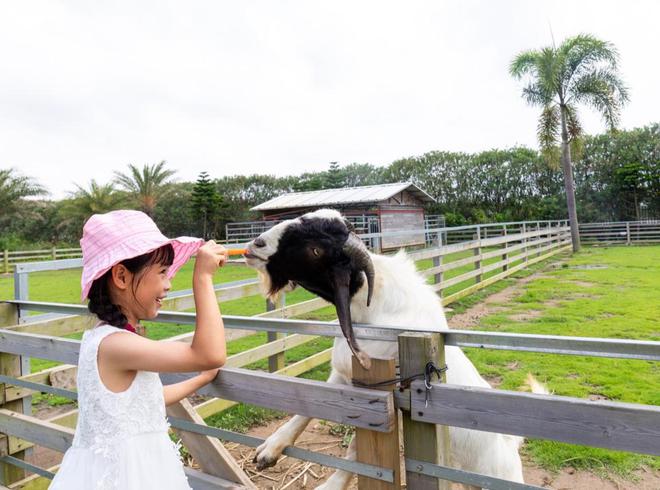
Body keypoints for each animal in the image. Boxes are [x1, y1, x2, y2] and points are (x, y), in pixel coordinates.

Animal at [245, 209, 544, 488]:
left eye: (316, 249)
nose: (255, 245)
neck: (373, 312)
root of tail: (510, 444)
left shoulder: (387, 395)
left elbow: (357, 449)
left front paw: (330, 485)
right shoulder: (343, 376)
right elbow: (307, 408)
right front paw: (269, 450)